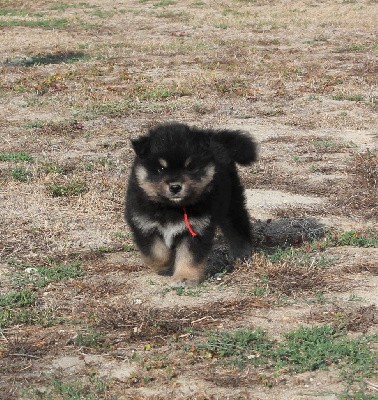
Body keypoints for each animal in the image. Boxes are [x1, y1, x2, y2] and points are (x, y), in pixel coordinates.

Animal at [125, 122, 258, 288]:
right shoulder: (143, 224)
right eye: (161, 168)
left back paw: (242, 253)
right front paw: (166, 265)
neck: (172, 207)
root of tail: (217, 141)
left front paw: (184, 278)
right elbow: (157, 253)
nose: (175, 187)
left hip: (230, 203)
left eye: (190, 167)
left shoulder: (197, 229)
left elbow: (189, 257)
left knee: (238, 228)